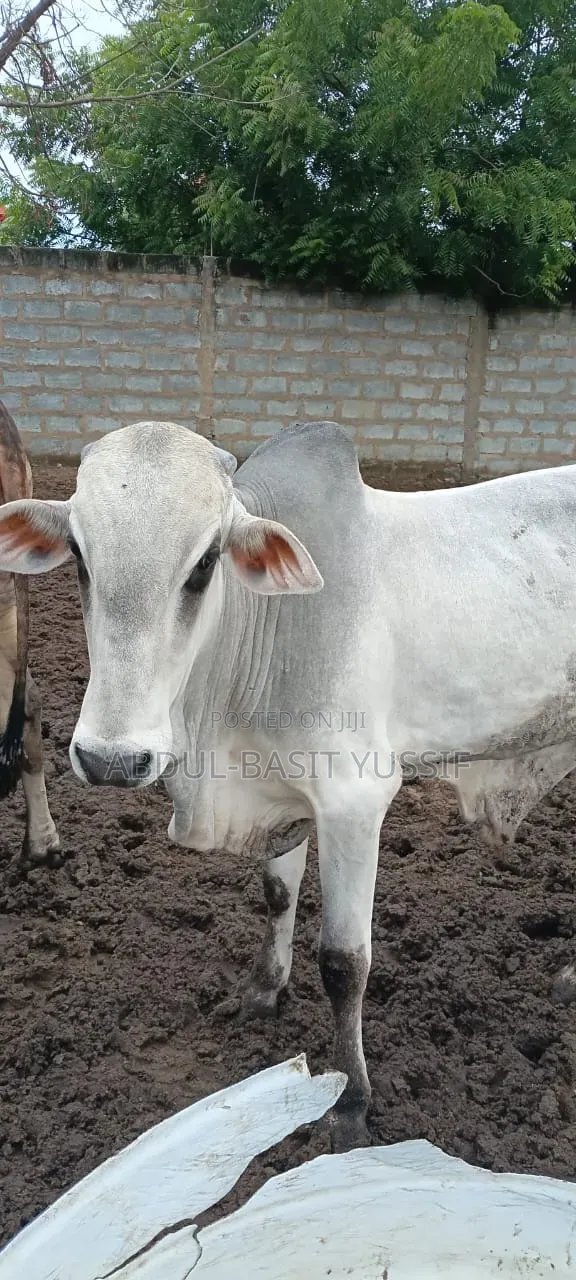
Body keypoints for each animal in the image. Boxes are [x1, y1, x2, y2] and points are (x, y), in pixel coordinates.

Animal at [0, 416, 575, 1150]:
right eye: (78, 555)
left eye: (206, 562)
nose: (110, 760)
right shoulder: (279, 793)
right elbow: (277, 895)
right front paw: (264, 992)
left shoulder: (355, 803)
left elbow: (345, 962)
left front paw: (351, 1100)